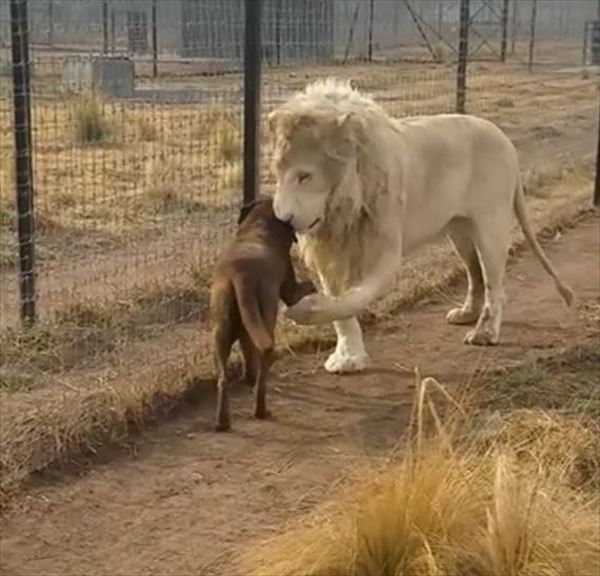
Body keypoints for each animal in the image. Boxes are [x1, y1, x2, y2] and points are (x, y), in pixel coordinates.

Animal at [210, 196, 316, 430]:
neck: (258, 224)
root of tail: (241, 276)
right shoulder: (289, 287)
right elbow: (302, 289)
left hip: (223, 328)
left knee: (224, 377)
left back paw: (223, 421)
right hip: (266, 317)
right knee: (263, 361)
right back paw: (261, 410)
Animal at [270, 79, 576, 374]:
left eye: (304, 176)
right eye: (278, 175)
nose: (281, 219)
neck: (343, 208)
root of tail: (505, 140)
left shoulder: (384, 249)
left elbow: (355, 296)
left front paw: (306, 310)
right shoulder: (331, 250)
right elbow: (342, 310)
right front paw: (348, 357)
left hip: (491, 226)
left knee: (494, 284)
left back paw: (486, 332)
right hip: (459, 232)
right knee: (475, 274)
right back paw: (466, 315)